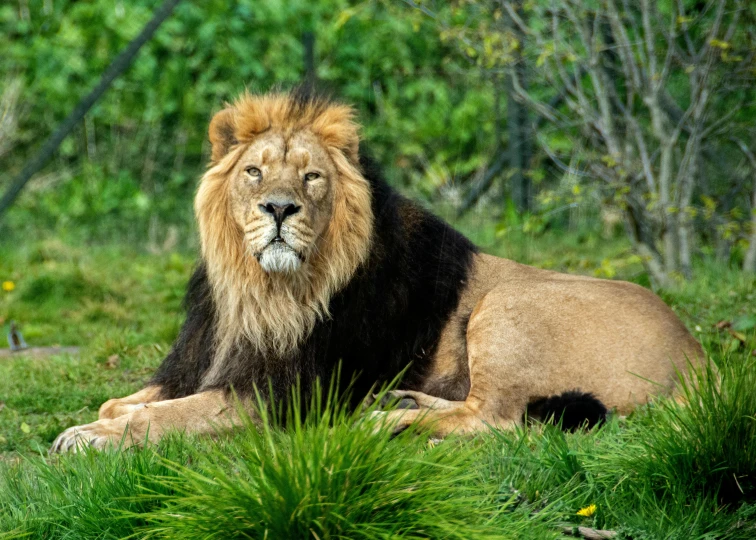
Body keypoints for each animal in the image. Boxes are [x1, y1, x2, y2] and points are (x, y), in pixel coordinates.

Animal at [51, 90, 704, 454]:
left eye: (311, 177)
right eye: (255, 172)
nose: (279, 209)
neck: (260, 290)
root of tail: (701, 357)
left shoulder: (284, 394)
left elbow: (167, 415)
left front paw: (92, 438)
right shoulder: (205, 359)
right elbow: (120, 401)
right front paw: (106, 419)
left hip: (506, 304)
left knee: (495, 422)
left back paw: (380, 425)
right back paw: (401, 403)